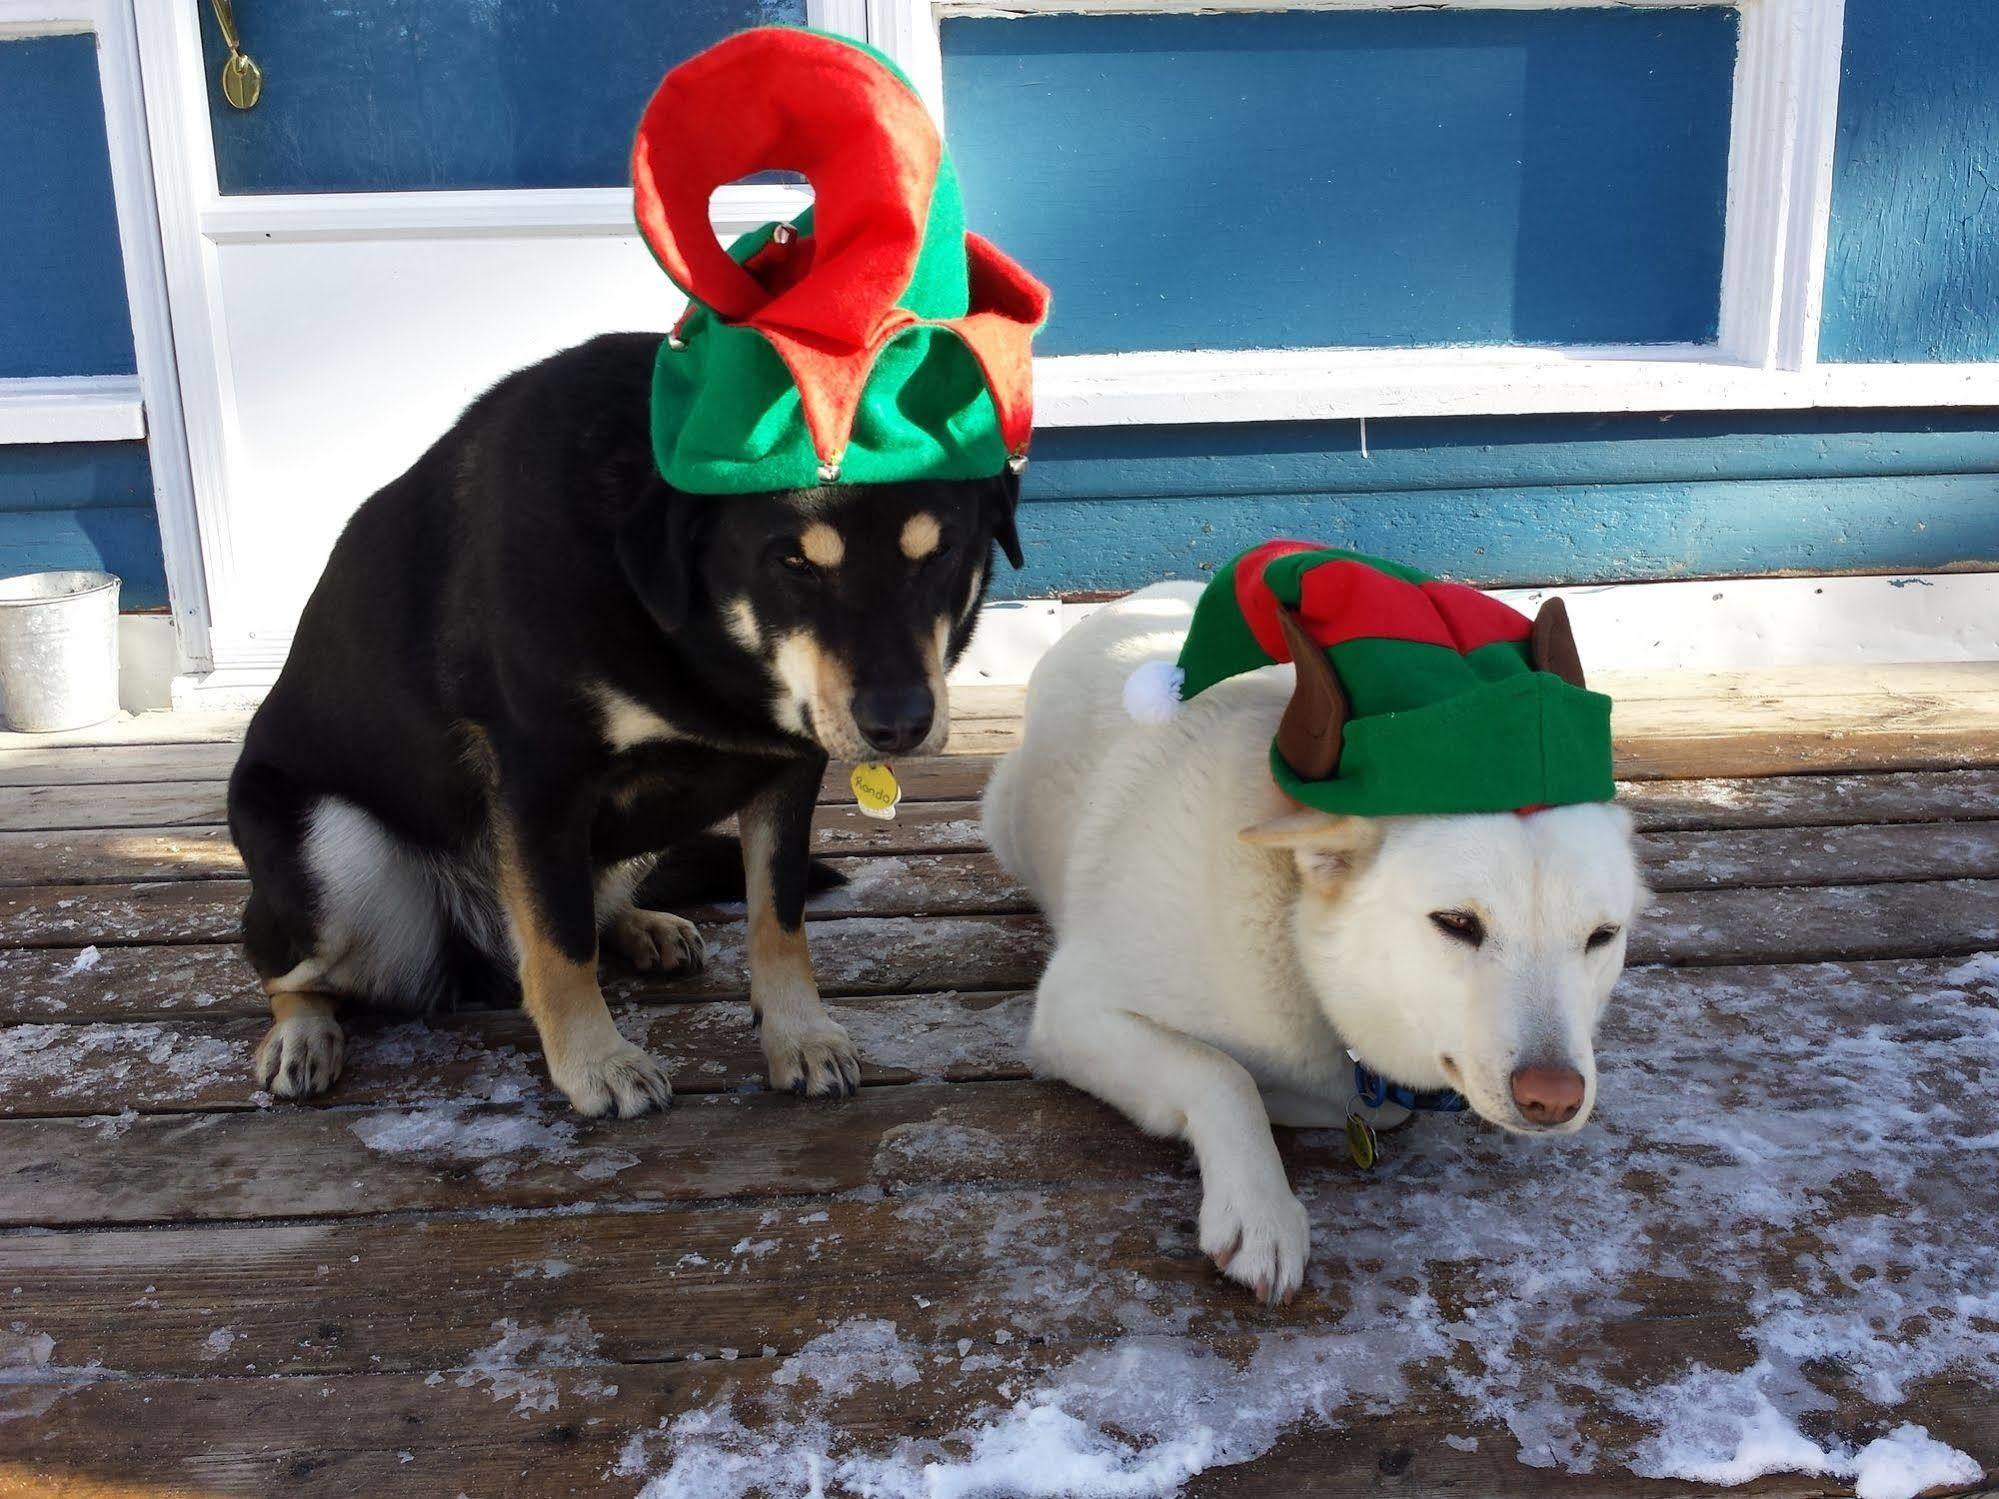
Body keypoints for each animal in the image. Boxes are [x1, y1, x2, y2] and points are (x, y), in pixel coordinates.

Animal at [226, 333, 1023, 1119]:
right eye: (792, 561)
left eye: (941, 552)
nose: (900, 724)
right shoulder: (541, 778)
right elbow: (559, 939)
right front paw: (596, 1063)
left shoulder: (790, 768)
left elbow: (778, 913)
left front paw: (798, 1034)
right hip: (331, 859)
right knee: (277, 962)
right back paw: (302, 1031)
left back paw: (644, 925)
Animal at [975, 579, 1647, 1311]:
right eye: (1457, 923)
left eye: (1601, 936)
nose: (1552, 1097)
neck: (1298, 945)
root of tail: (1134, 597)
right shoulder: (1073, 1008)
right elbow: (1220, 1071)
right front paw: (1259, 1208)